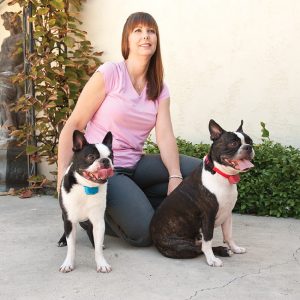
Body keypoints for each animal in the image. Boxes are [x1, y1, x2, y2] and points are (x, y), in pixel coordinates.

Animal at [57, 130, 113, 274]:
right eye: (91, 157)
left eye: (111, 156)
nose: (105, 160)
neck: (87, 187)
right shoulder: (69, 220)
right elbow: (71, 247)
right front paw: (68, 264)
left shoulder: (99, 221)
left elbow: (98, 248)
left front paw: (101, 263)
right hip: (64, 216)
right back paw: (62, 240)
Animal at [151, 119, 254, 268]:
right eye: (233, 143)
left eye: (251, 142)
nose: (248, 147)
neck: (222, 175)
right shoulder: (208, 216)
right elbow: (208, 240)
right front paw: (211, 259)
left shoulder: (228, 213)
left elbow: (228, 234)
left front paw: (235, 248)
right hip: (182, 247)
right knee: (199, 248)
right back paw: (220, 251)